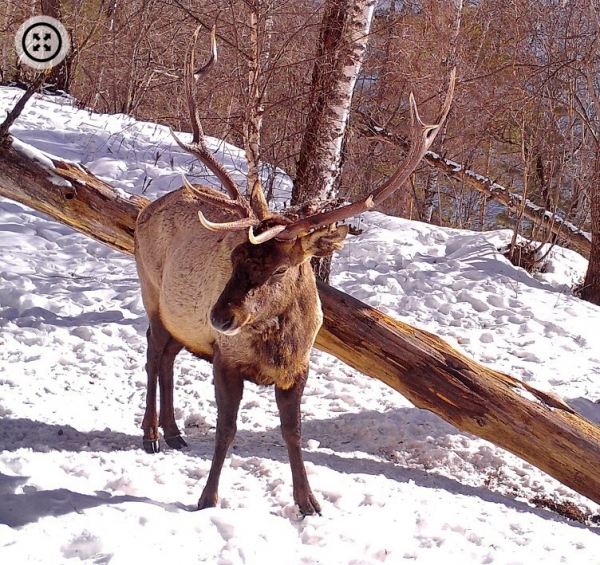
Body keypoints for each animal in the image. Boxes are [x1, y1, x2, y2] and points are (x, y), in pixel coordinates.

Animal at [136, 27, 454, 516]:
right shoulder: (226, 360)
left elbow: (294, 432)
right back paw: (151, 433)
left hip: (180, 319)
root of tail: (142, 211)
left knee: (168, 355)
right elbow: (227, 430)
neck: (278, 349)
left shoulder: (300, 370)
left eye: (281, 270)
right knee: (153, 353)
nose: (220, 317)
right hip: (150, 289)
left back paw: (173, 433)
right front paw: (207, 498)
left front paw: (308, 502)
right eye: (234, 257)